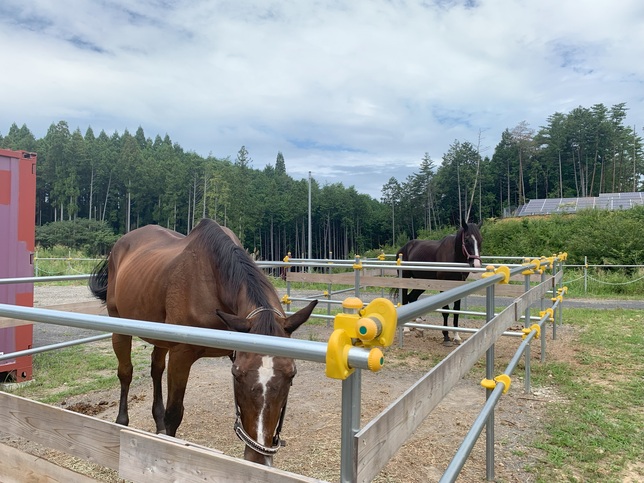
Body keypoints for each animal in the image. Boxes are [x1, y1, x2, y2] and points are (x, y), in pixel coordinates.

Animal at [88, 218, 316, 466]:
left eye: (291, 375)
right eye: (237, 374)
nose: (257, 459)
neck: (212, 282)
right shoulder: (181, 356)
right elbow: (174, 414)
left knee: (156, 369)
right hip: (120, 328)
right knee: (126, 373)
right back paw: (121, 421)